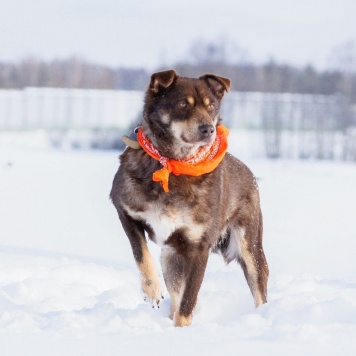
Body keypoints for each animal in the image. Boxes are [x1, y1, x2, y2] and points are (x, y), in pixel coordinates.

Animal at [110, 68, 268, 326]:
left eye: (211, 106)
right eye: (183, 104)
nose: (208, 129)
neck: (174, 164)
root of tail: (250, 174)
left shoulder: (198, 248)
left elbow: (188, 301)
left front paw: (181, 330)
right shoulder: (125, 211)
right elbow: (140, 253)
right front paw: (151, 290)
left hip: (249, 245)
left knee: (259, 286)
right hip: (171, 255)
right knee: (174, 294)